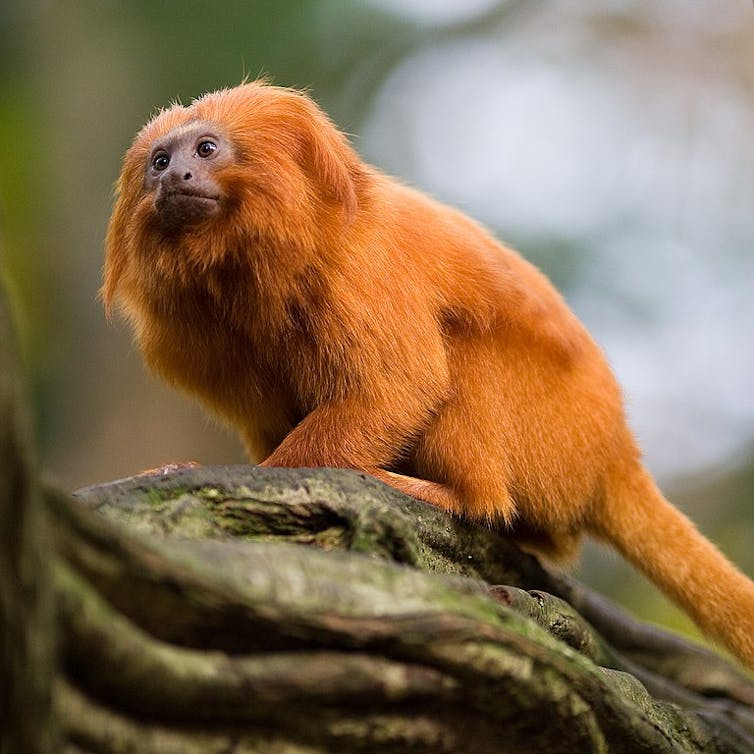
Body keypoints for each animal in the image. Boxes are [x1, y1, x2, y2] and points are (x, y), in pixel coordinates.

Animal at [103, 82, 752, 668]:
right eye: (159, 161)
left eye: (205, 149)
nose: (174, 177)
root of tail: (613, 453)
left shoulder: (364, 273)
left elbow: (397, 389)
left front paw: (234, 476)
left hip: (553, 433)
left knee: (463, 363)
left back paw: (442, 493)